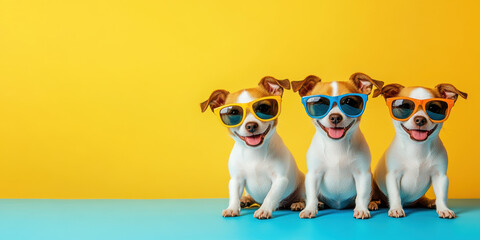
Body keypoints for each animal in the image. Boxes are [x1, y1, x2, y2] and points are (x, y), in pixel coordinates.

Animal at [201, 77, 306, 219]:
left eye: (263, 108)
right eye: (233, 113)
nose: (251, 125)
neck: (254, 152)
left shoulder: (280, 180)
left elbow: (271, 195)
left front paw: (264, 209)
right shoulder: (236, 180)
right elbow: (234, 195)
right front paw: (232, 208)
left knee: (305, 197)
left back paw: (300, 203)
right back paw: (245, 200)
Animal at [290, 72, 384, 218]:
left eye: (349, 102)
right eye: (319, 103)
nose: (335, 117)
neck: (336, 145)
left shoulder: (363, 174)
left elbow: (362, 195)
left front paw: (362, 209)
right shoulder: (313, 174)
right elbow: (311, 195)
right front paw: (310, 209)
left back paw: (372, 204)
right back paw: (303, 204)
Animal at [374, 82, 466, 218]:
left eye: (433, 108)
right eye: (405, 107)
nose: (420, 119)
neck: (417, 148)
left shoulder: (440, 176)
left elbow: (442, 195)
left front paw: (443, 208)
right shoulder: (393, 176)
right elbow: (395, 194)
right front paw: (396, 208)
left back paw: (430, 202)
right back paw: (373, 203)